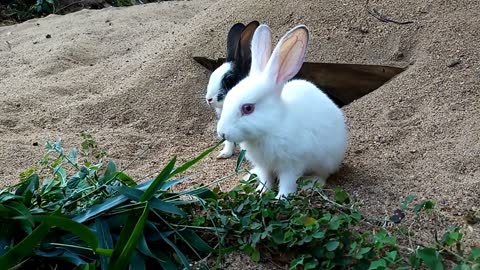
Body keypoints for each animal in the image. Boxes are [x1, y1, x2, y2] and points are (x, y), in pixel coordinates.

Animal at [218, 25, 348, 198]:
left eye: (248, 108)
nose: (221, 133)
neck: (272, 126)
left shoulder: (292, 165)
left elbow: (287, 182)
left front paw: (281, 197)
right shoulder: (264, 166)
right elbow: (265, 179)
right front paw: (261, 192)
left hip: (327, 160)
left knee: (323, 175)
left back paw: (310, 183)